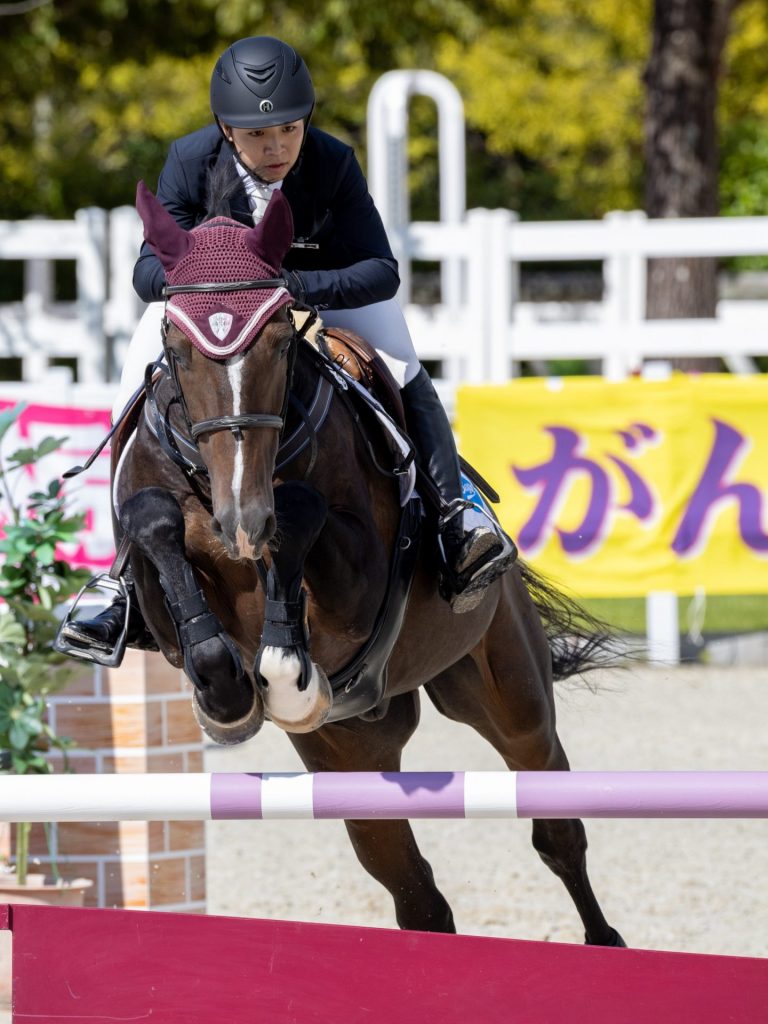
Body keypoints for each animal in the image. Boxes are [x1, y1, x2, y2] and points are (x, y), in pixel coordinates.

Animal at [112, 182, 626, 942]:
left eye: (277, 340)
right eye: (178, 346)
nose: (243, 522)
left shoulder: (358, 584)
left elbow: (304, 515)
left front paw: (284, 668)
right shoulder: (160, 583)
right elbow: (157, 532)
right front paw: (232, 698)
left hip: (509, 694)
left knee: (555, 829)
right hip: (353, 755)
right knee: (416, 894)